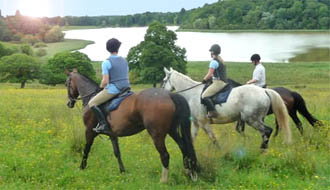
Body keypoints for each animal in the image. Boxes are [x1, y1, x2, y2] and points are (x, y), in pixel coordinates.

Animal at [65, 71, 197, 183]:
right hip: (172, 130)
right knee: (183, 147)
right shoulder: (112, 134)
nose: (69, 103)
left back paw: (163, 180)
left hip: (157, 134)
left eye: (67, 84)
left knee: (165, 155)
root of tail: (169, 95)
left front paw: (81, 167)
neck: (91, 97)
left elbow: (86, 149)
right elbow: (117, 153)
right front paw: (122, 171)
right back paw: (187, 172)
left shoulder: (89, 131)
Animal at [163, 67, 292, 151]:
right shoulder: (196, 123)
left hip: (252, 119)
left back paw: (262, 149)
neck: (192, 94)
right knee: (264, 133)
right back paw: (263, 149)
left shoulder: (204, 123)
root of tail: (264, 91)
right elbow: (193, 138)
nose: (163, 93)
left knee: (267, 131)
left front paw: (220, 151)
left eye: (164, 81)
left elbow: (213, 138)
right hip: (257, 119)